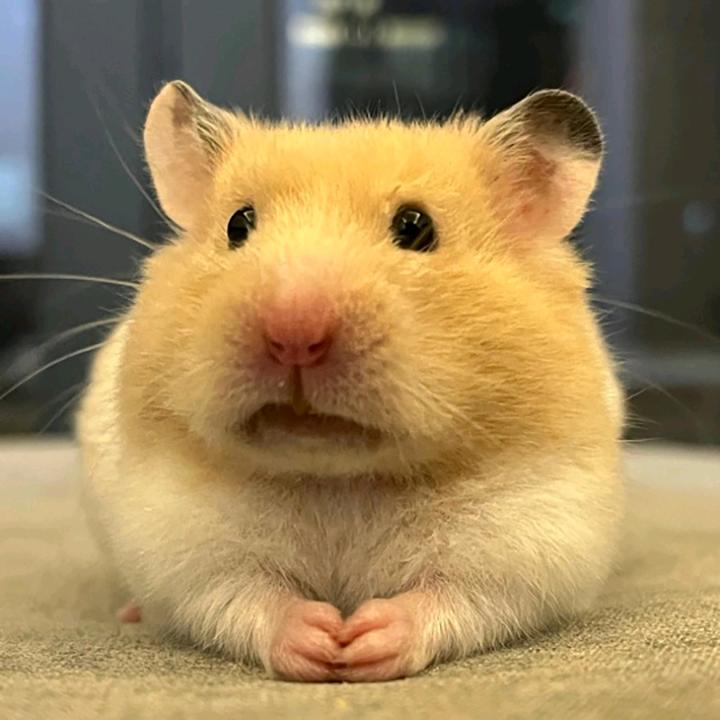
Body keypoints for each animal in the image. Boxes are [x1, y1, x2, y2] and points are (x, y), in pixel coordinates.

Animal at [76, 81, 624, 682]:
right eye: (238, 225)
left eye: (416, 227)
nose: (294, 332)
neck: (339, 479)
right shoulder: (182, 548)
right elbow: (245, 596)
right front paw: (322, 644)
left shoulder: (532, 542)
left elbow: (454, 598)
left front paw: (362, 644)